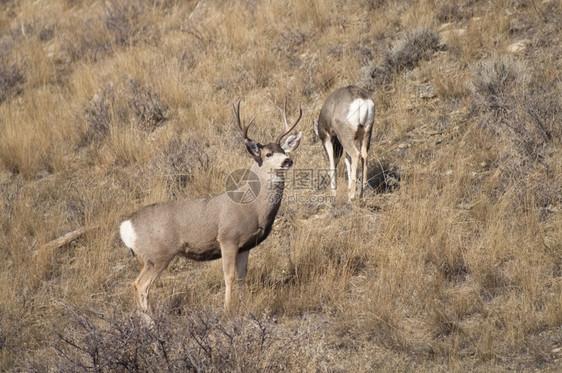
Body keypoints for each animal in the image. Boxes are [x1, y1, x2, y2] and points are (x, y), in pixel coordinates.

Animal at [118, 99, 302, 316]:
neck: (253, 207)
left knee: (138, 285)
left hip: (147, 258)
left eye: (284, 150)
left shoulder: (245, 245)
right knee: (140, 285)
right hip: (158, 254)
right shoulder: (228, 238)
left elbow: (242, 276)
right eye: (267, 154)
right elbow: (229, 276)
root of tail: (126, 226)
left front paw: (242, 307)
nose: (287, 160)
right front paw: (227, 311)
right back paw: (151, 323)